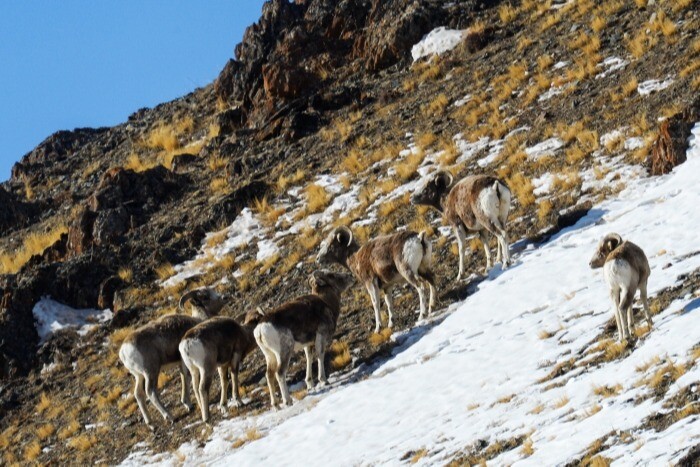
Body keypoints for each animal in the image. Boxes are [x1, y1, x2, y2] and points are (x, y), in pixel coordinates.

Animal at [118, 288, 224, 430]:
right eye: (205, 297)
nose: (223, 297)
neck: (198, 320)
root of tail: (124, 351)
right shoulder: (184, 363)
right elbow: (186, 377)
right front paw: (188, 405)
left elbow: (183, 377)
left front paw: (187, 404)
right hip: (151, 372)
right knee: (150, 392)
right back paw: (170, 417)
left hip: (139, 376)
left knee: (138, 394)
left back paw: (151, 425)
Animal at [247, 270, 356, 410]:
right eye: (332, 276)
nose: (350, 277)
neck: (326, 302)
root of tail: (260, 329)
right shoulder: (321, 336)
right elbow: (320, 355)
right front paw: (324, 381)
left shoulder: (307, 344)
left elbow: (309, 358)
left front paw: (310, 385)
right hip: (284, 352)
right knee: (279, 373)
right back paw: (288, 401)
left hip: (269, 356)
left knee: (269, 375)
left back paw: (276, 406)